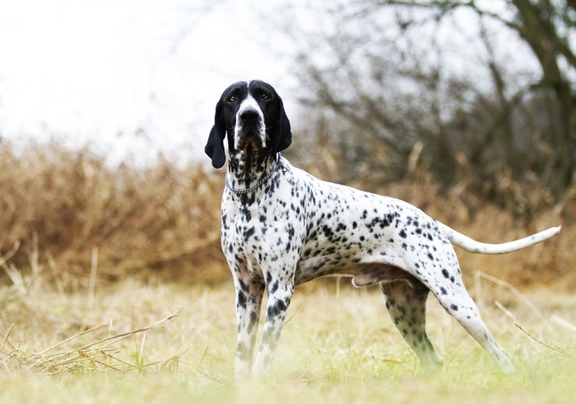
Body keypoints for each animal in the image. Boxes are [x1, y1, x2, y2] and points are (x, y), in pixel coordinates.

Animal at [205, 79, 560, 378]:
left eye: (264, 96)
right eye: (233, 98)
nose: (249, 116)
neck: (249, 192)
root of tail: (431, 221)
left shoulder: (280, 289)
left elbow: (263, 356)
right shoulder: (247, 291)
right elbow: (243, 356)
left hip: (457, 302)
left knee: (499, 354)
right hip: (403, 309)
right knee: (433, 360)